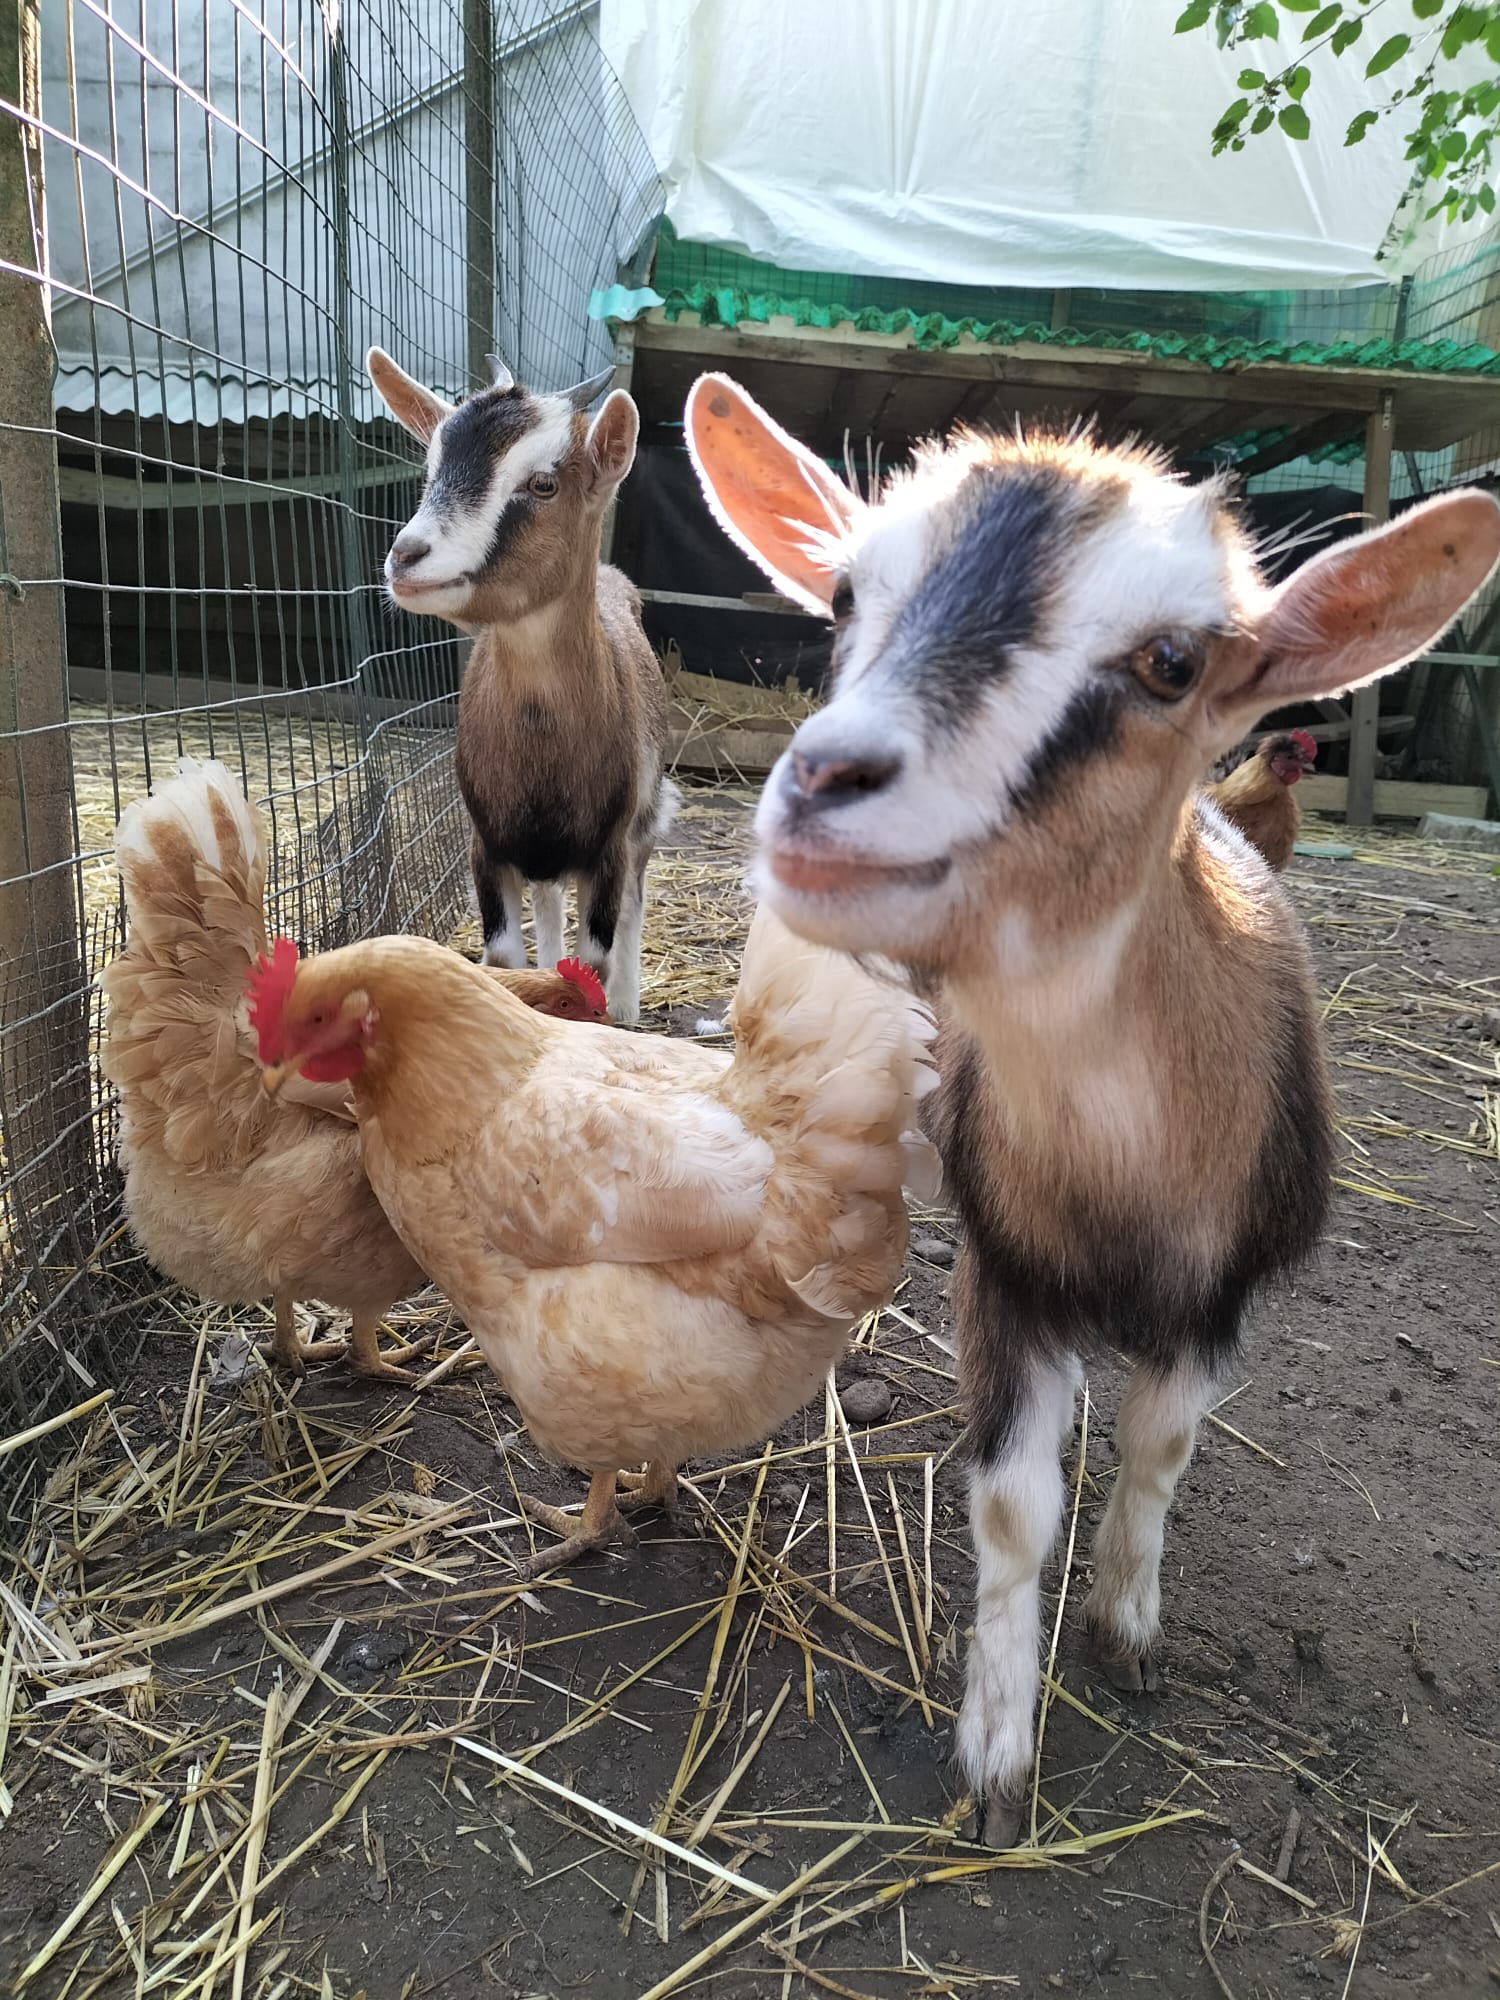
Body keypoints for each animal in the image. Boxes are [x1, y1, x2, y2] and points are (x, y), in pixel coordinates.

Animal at [368, 344, 672, 1024]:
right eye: (431, 468)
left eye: (543, 483)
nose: (407, 556)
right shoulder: (490, 846)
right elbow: (508, 958)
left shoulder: (608, 851)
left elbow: (594, 959)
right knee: (550, 908)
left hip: (640, 830)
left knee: (634, 907)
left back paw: (630, 1006)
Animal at [692, 376, 1500, 1840]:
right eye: (843, 594)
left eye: (1173, 661)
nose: (823, 782)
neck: (1128, 1181)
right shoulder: (1008, 1275)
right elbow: (1015, 1507)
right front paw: (997, 1761)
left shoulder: (1221, 1296)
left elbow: (1163, 1447)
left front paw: (1129, 1629)